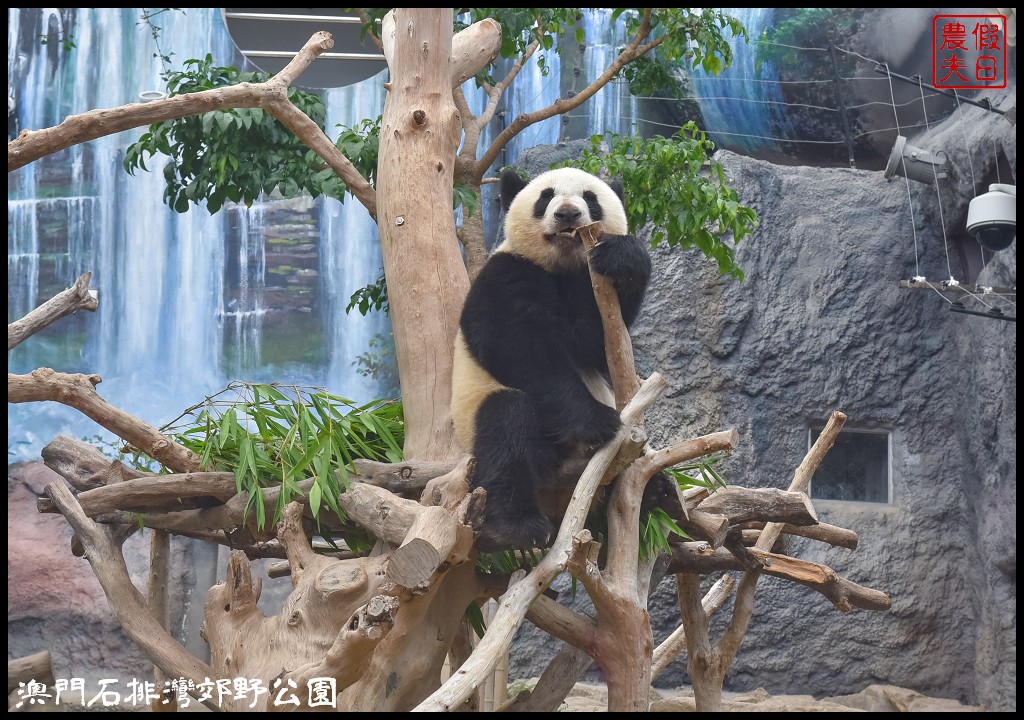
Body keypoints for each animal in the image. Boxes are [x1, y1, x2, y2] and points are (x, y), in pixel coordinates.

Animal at [452, 168, 659, 553]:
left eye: (590, 198)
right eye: (545, 196)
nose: (567, 214)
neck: (559, 266)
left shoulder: (587, 287)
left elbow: (596, 342)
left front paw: (624, 258)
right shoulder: (504, 273)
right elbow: (518, 346)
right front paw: (596, 422)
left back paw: (658, 492)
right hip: (475, 429)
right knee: (505, 424)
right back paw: (514, 526)